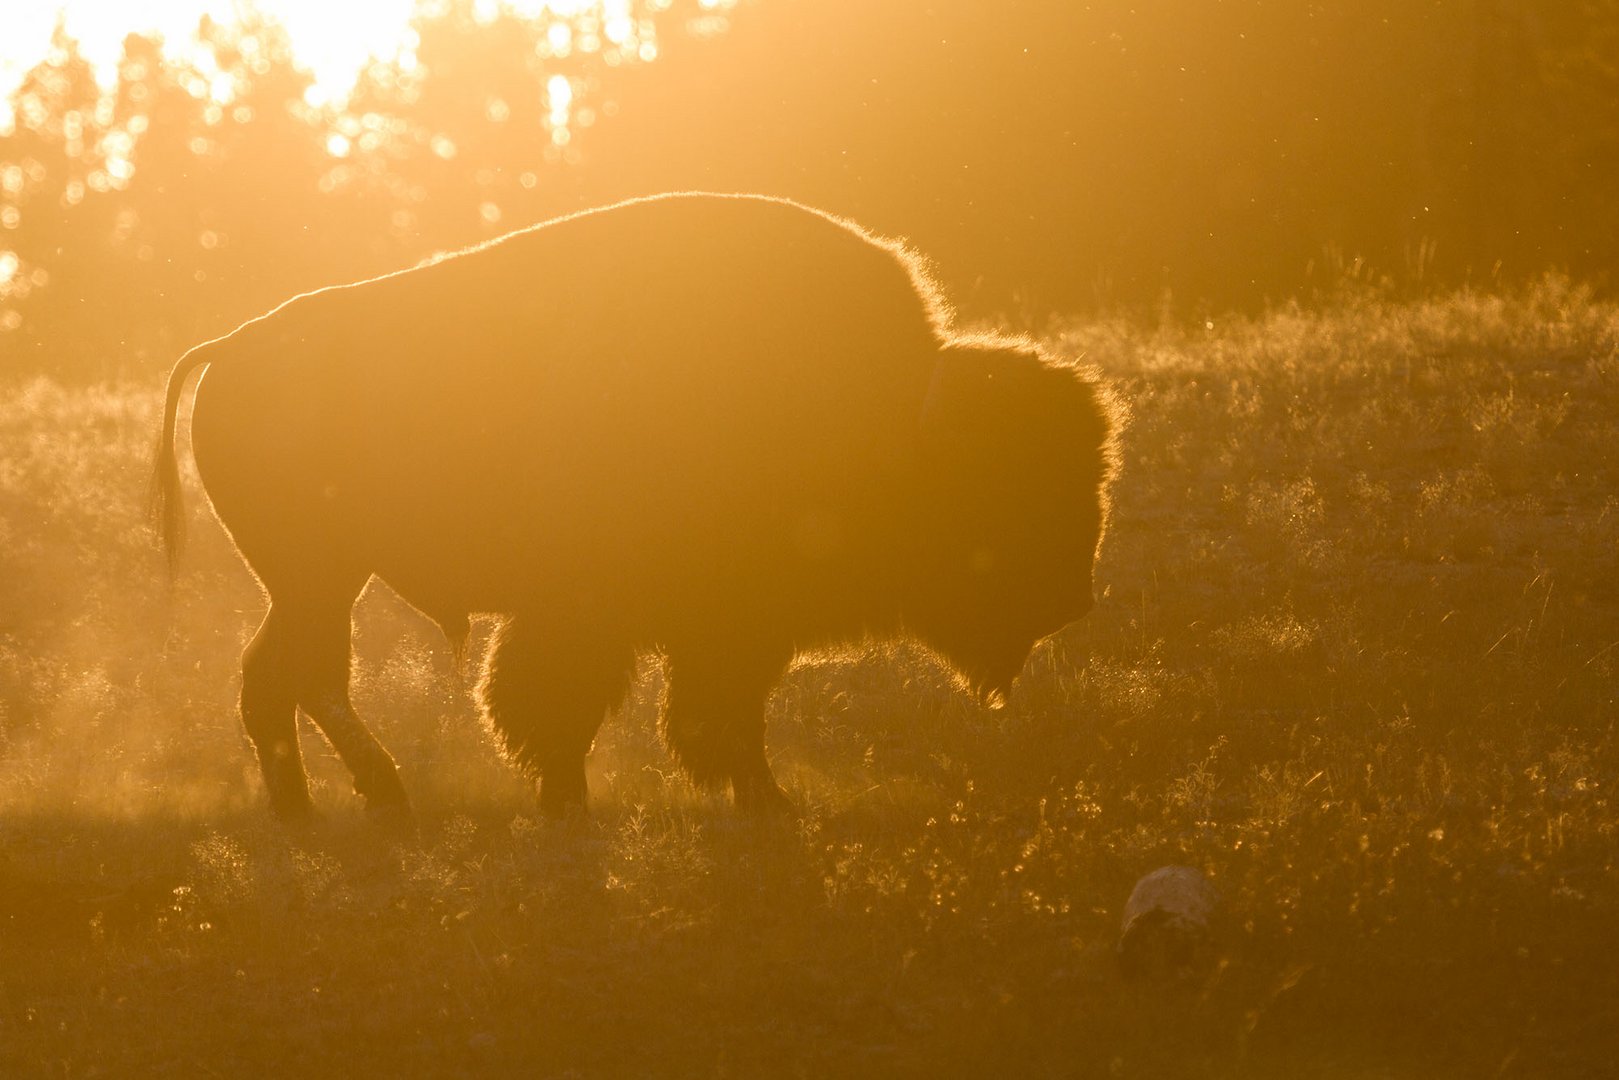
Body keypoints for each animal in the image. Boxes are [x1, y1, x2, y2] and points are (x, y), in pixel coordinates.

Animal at [152, 194, 1113, 819]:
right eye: (1000, 482)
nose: (1071, 599)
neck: (890, 416)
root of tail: (234, 345)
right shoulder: (638, 618)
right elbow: (586, 707)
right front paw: (592, 804)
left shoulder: (719, 626)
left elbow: (695, 712)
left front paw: (751, 800)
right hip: (318, 577)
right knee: (304, 676)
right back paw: (375, 797)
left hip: (315, 582)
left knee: (277, 677)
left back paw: (313, 809)